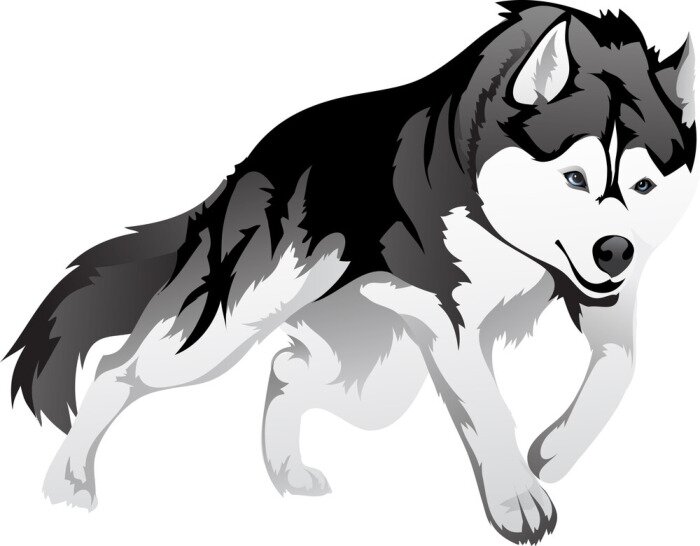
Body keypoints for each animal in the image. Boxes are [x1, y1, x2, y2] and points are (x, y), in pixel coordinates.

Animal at [3, 1, 696, 543]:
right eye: (574, 177)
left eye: (643, 185)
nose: (615, 250)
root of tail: (250, 163)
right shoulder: (451, 321)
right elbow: (490, 409)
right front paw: (515, 497)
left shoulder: (603, 299)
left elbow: (620, 369)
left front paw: (552, 452)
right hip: (228, 332)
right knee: (118, 370)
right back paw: (68, 485)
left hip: (378, 378)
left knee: (286, 369)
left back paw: (286, 473)